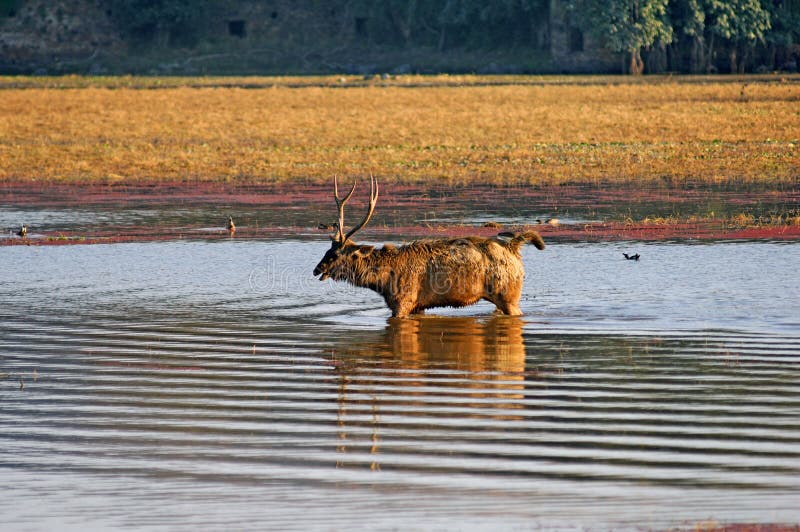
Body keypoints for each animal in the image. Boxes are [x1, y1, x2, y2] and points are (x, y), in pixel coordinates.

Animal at [316, 177, 548, 318]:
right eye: (326, 250)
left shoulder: (403, 301)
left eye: (336, 254)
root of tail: (514, 248)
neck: (383, 281)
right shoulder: (418, 306)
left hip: (508, 295)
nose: (316, 269)